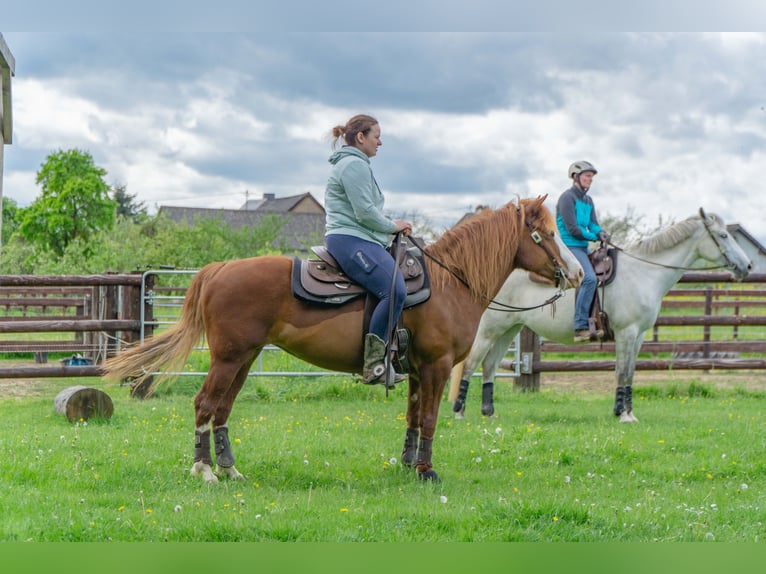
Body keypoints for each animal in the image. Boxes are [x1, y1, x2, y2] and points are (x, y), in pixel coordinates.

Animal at [101, 195, 583, 483]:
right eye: (547, 234)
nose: (576, 272)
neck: (449, 283)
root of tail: (219, 269)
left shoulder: (415, 370)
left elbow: (412, 419)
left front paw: (407, 466)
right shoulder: (437, 366)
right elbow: (429, 419)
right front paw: (427, 472)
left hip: (243, 359)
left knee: (221, 409)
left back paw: (230, 470)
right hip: (227, 358)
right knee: (204, 405)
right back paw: (204, 470)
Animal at [449, 208, 753, 423]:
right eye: (724, 236)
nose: (748, 266)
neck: (644, 272)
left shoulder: (639, 335)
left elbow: (628, 372)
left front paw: (625, 411)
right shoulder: (627, 332)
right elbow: (622, 372)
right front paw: (624, 414)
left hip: (510, 328)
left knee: (489, 366)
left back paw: (489, 412)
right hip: (489, 329)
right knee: (471, 364)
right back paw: (459, 411)